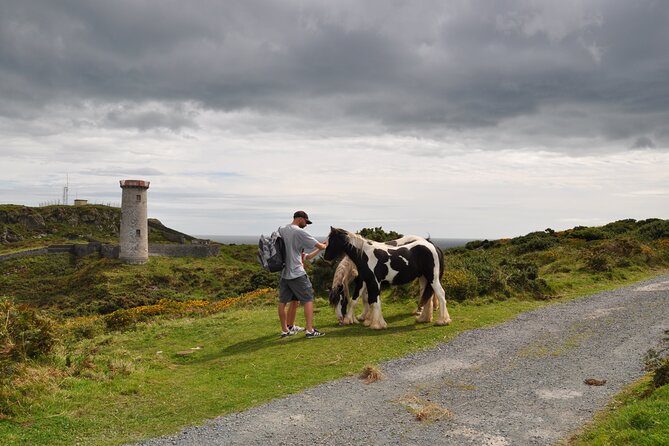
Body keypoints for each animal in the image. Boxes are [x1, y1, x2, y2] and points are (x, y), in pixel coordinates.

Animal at [322, 228, 452, 330]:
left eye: (332, 240)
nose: (326, 257)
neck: (364, 255)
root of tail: (433, 246)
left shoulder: (373, 282)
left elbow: (374, 301)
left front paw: (376, 324)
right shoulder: (364, 281)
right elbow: (359, 300)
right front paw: (356, 319)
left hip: (433, 278)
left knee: (441, 294)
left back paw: (442, 321)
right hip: (424, 278)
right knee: (427, 295)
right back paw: (423, 318)